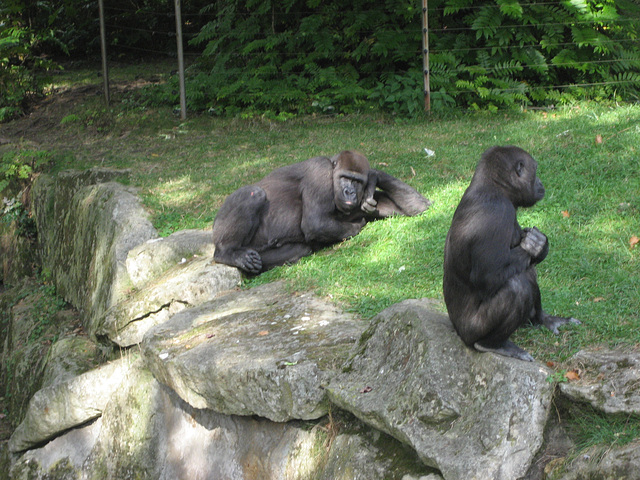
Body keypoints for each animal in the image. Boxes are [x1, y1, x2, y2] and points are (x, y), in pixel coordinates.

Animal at [214, 152, 430, 276]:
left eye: (357, 181)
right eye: (345, 178)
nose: (349, 192)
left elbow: (418, 207)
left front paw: (374, 175)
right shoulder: (319, 171)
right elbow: (315, 223)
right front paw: (356, 226)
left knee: (299, 249)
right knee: (254, 193)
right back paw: (227, 253)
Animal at [442, 144, 576, 362]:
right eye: (535, 171)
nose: (540, 182)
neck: (495, 188)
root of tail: (457, 331)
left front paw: (540, 246)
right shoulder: (496, 213)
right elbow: (488, 276)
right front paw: (534, 245)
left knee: (526, 271)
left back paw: (542, 318)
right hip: (470, 332)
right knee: (517, 286)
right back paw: (492, 344)